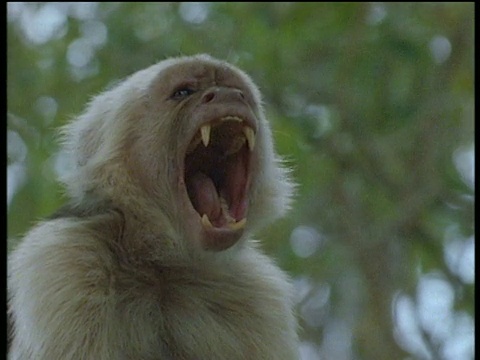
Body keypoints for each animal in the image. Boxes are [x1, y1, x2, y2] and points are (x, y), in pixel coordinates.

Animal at [7, 54, 298, 360]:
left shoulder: (259, 295)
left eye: (236, 91)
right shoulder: (63, 255)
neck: (159, 263)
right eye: (183, 92)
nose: (228, 95)